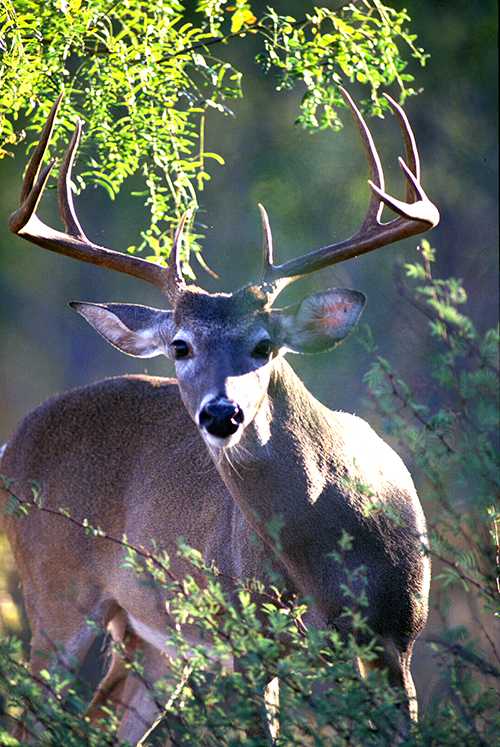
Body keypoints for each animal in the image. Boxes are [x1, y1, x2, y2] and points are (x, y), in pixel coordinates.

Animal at [1, 87, 438, 744]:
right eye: (181, 346)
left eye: (265, 345)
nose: (222, 413)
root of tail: (14, 440)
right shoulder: (249, 640)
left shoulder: (398, 637)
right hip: (54, 590)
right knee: (34, 717)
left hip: (156, 640)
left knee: (111, 717)